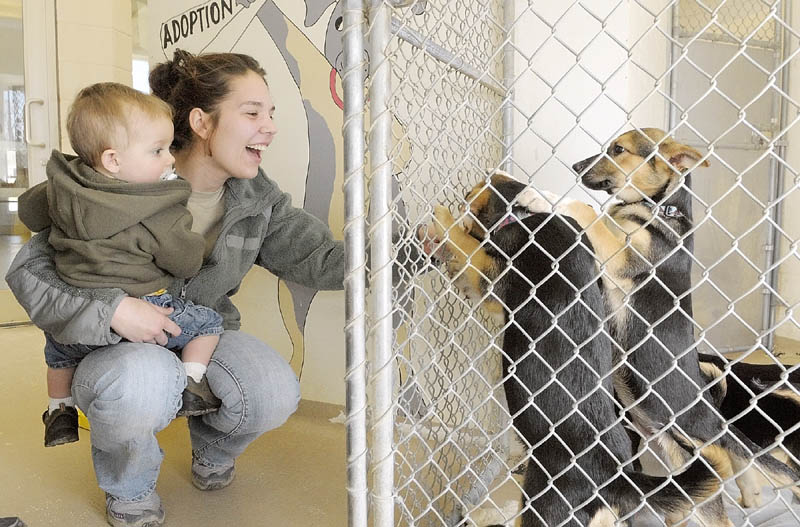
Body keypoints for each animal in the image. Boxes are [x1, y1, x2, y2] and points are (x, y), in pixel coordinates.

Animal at [422, 174, 728, 527]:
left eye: (468, 198)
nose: (462, 196)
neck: (527, 216)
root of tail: (615, 479)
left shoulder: (490, 279)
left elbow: (466, 247)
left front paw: (443, 218)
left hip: (544, 506)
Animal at [520, 129, 800, 520]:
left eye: (618, 150)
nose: (575, 166)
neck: (660, 208)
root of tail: (716, 419)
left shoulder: (623, 255)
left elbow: (588, 212)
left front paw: (544, 197)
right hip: (673, 452)